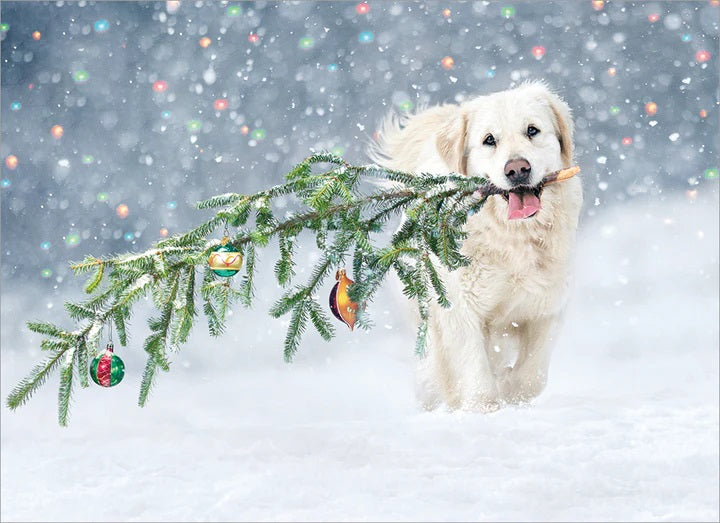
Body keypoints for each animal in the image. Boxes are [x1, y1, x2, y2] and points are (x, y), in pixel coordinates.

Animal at [368, 82, 584, 412]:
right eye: (489, 140)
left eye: (532, 130)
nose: (517, 169)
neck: (513, 238)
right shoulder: (458, 307)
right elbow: (474, 371)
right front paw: (483, 409)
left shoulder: (548, 304)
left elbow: (532, 375)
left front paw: (511, 392)